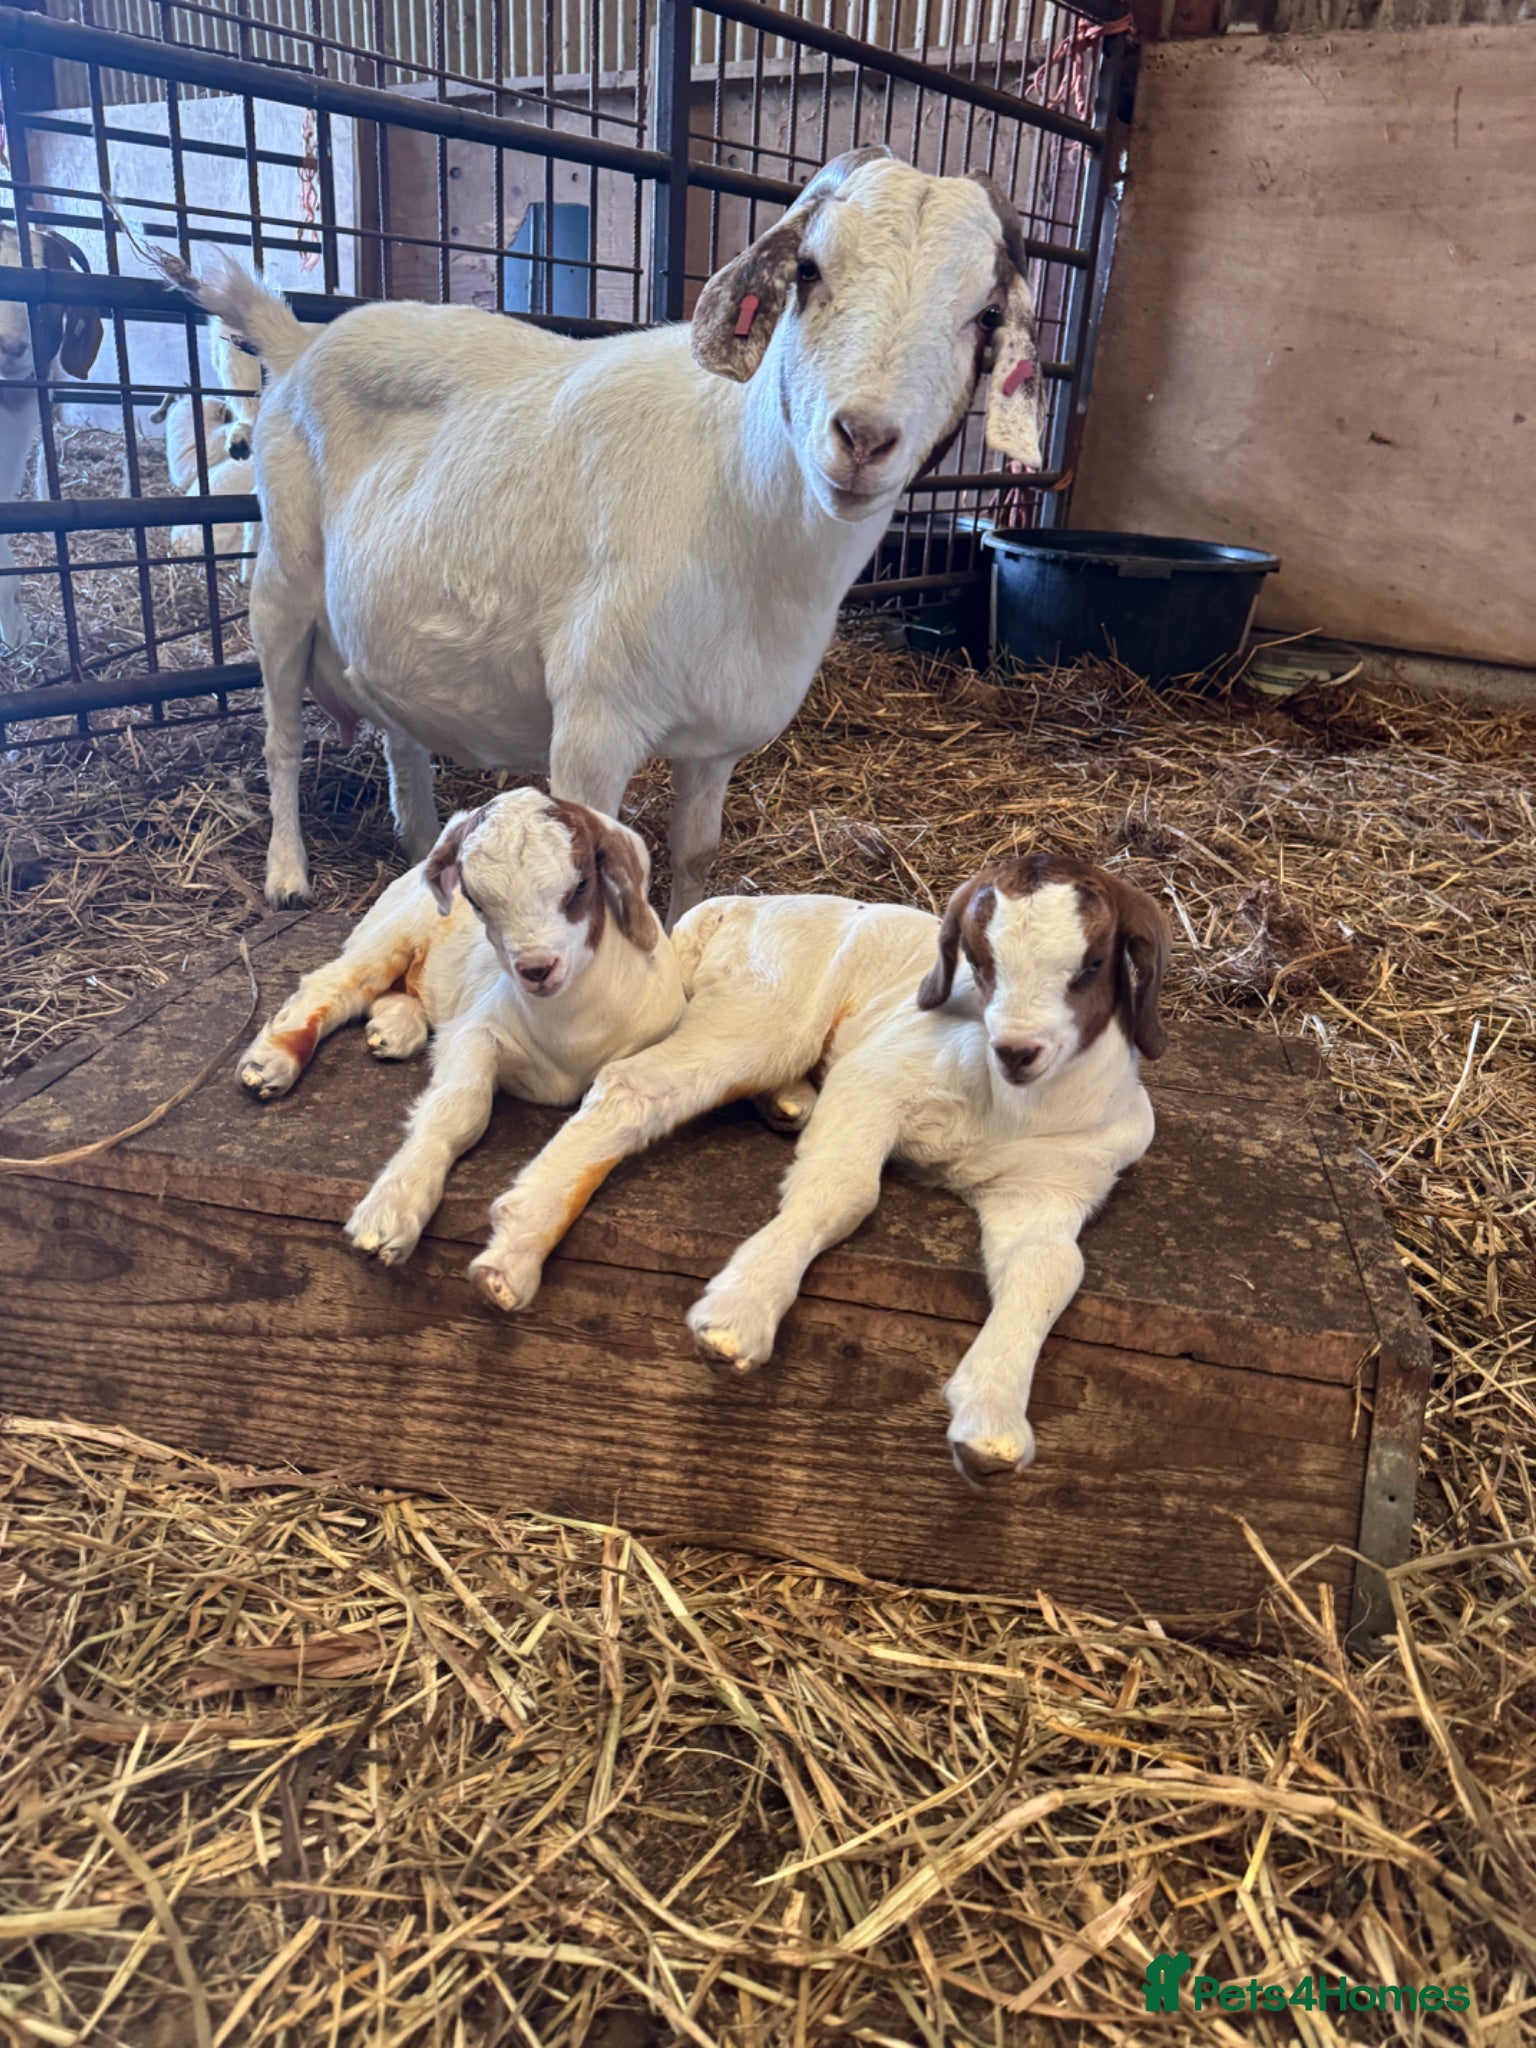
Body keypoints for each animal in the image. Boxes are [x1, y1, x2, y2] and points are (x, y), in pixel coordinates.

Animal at [157, 147, 1046, 920]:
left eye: (986, 314)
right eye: (808, 270)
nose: (863, 438)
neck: (738, 494)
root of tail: (300, 340)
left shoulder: (716, 741)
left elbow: (695, 855)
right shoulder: (594, 720)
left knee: (400, 739)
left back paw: (416, 845)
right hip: (281, 581)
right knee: (279, 740)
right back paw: (287, 874)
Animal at [237, 788, 686, 1266]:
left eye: (582, 884)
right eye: (476, 900)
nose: (536, 969)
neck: (568, 1022)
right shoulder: (477, 1032)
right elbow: (458, 1108)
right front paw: (391, 1212)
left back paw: (393, 1030)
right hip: (389, 932)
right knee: (340, 983)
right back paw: (271, 1062)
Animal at [456, 854, 1170, 1480]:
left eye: (1093, 964)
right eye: (982, 961)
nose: (1016, 1050)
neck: (1013, 1109)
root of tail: (738, 904)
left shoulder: (1055, 1187)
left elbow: (1051, 1268)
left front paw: (991, 1425)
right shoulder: (877, 1078)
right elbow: (842, 1191)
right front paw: (739, 1316)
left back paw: (787, 1101)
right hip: (763, 1013)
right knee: (635, 1085)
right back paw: (516, 1249)